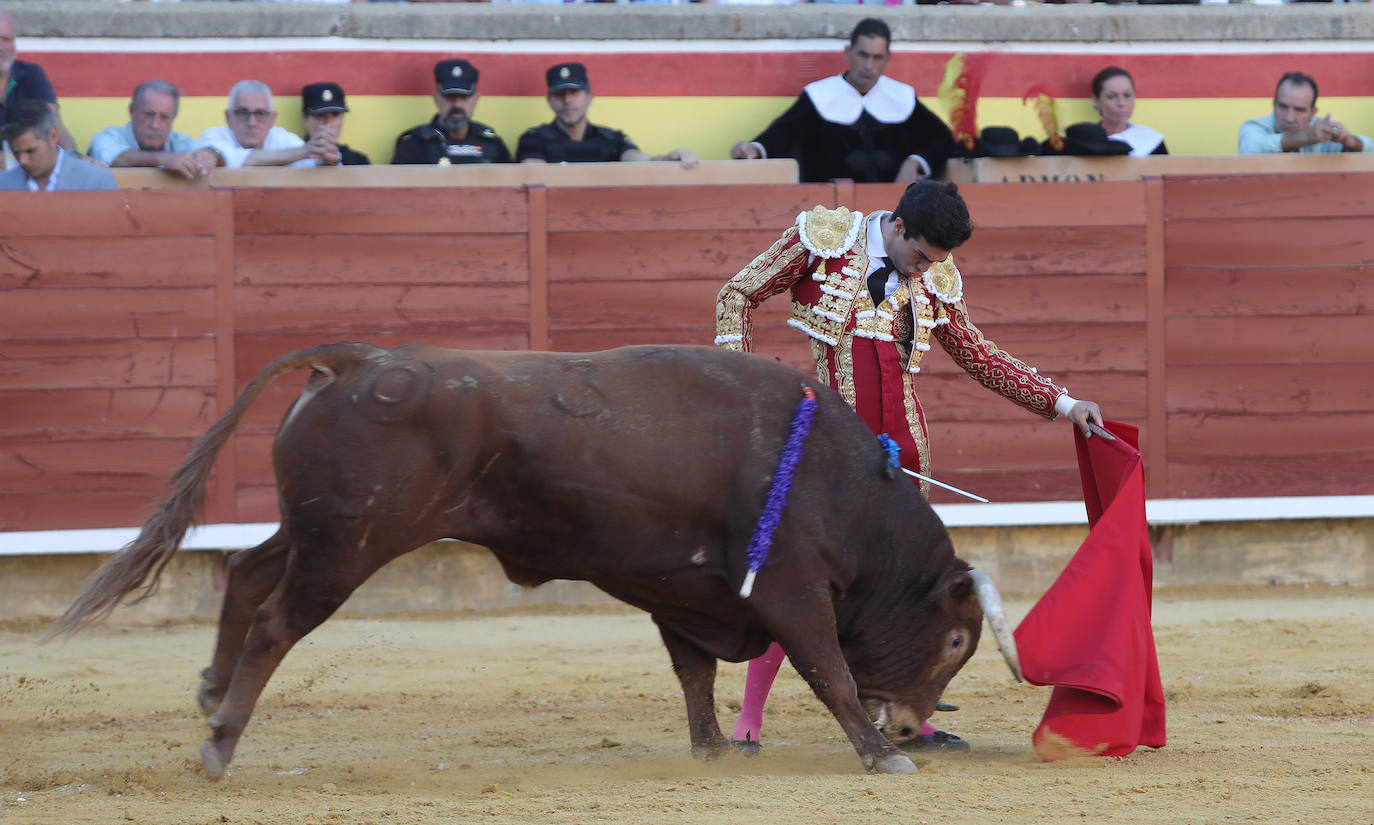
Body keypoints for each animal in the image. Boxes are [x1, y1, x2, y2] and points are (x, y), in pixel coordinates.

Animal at [50, 339, 1022, 775]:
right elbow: (827, 668)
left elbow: (694, 670)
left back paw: (211, 691)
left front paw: (710, 747)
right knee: (279, 620)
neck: (838, 481)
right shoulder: (789, 588)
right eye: (954, 641)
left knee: (248, 572)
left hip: (318, 529)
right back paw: (219, 743)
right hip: (349, 548)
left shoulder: (687, 589)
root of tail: (356, 359)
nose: (918, 722)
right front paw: (879, 753)